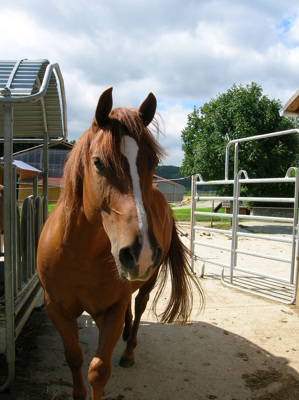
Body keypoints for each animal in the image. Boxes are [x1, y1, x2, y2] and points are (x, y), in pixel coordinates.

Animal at [36, 88, 205, 400]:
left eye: (153, 163)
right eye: (98, 163)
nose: (142, 253)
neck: (78, 255)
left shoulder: (111, 311)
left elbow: (98, 370)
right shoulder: (57, 308)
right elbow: (74, 357)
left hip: (149, 280)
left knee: (138, 306)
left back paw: (128, 350)